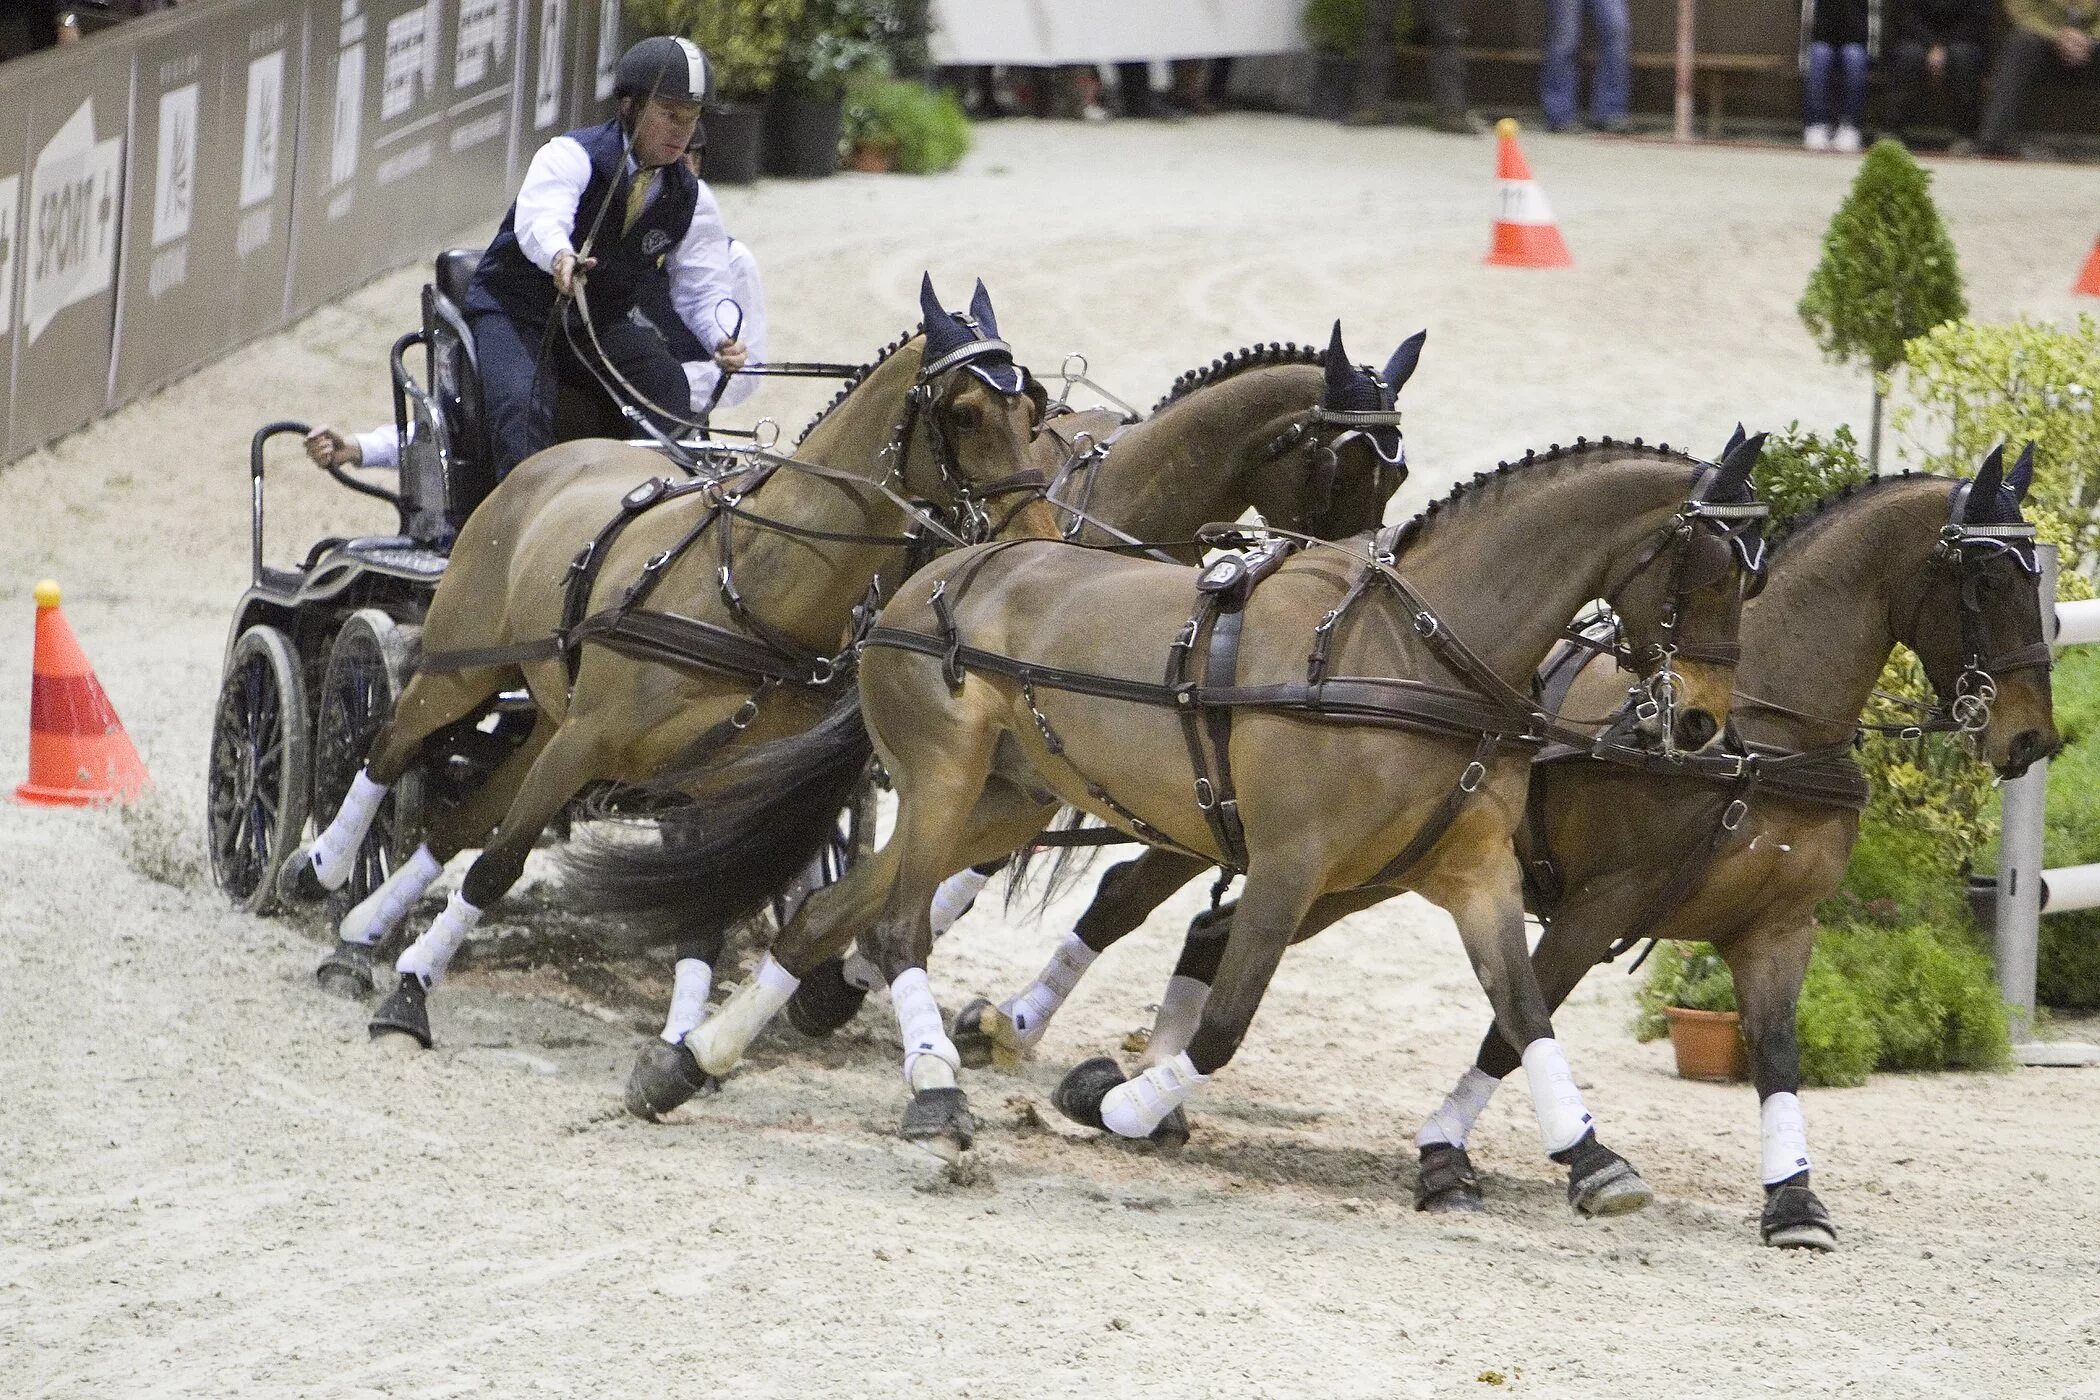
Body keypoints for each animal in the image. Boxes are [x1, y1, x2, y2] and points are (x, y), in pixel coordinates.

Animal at [270, 277, 1058, 1049]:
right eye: (965, 413)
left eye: (1034, 408)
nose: (1040, 535)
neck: (744, 587)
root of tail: (551, 459)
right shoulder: (588, 740)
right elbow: (497, 868)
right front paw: (409, 997)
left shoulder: (714, 782)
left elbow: (702, 907)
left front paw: (681, 1041)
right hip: (463, 669)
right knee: (385, 748)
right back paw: (320, 871)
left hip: (548, 718)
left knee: (457, 822)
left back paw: (361, 931)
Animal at [659, 434, 1772, 1192]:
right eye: (1705, 569)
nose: (1705, 722)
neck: (1415, 654)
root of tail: (925, 578)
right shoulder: (1289, 864)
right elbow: (1228, 1019)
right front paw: (1118, 1099)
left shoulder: (1474, 873)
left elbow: (1525, 1009)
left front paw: (1592, 1158)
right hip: (941, 780)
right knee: (893, 929)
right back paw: (933, 1091)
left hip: (1004, 803)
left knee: (827, 914)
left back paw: (689, 1063)